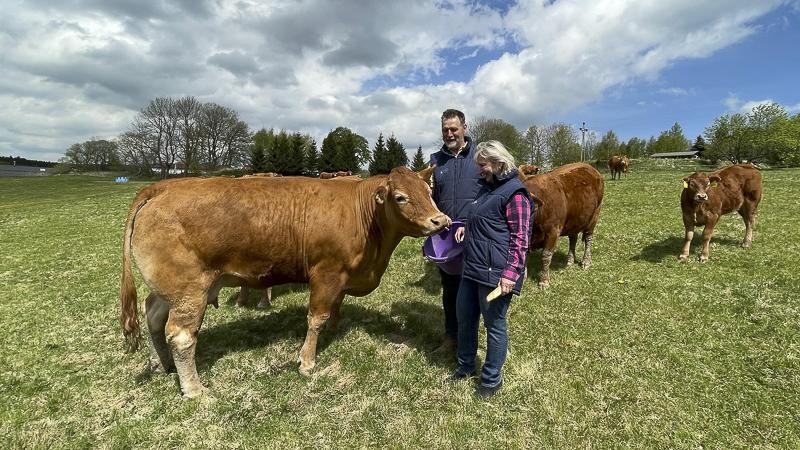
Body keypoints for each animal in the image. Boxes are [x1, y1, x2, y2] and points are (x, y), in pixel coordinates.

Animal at [122, 166, 454, 398]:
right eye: (401, 197)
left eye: (429, 192)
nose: (441, 221)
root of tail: (164, 186)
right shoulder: (325, 274)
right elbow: (316, 317)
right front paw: (307, 362)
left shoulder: (342, 276)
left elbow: (335, 307)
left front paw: (334, 331)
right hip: (190, 291)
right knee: (180, 336)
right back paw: (193, 389)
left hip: (168, 291)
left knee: (152, 315)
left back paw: (159, 364)